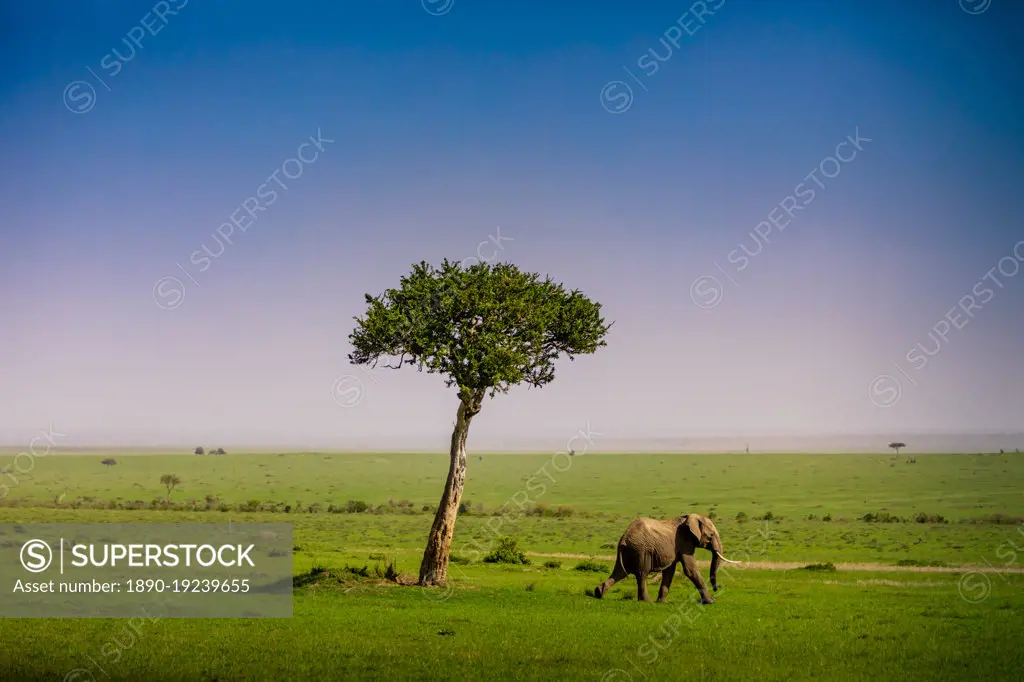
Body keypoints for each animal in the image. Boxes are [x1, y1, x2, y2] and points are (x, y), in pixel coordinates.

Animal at [593, 512, 737, 602]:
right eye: (711, 535)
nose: (717, 589)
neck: (691, 517)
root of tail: (624, 538)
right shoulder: (684, 542)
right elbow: (690, 569)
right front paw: (710, 601)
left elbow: (669, 572)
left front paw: (662, 602)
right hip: (641, 551)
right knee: (641, 575)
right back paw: (647, 601)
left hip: (629, 551)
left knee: (619, 572)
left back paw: (598, 593)